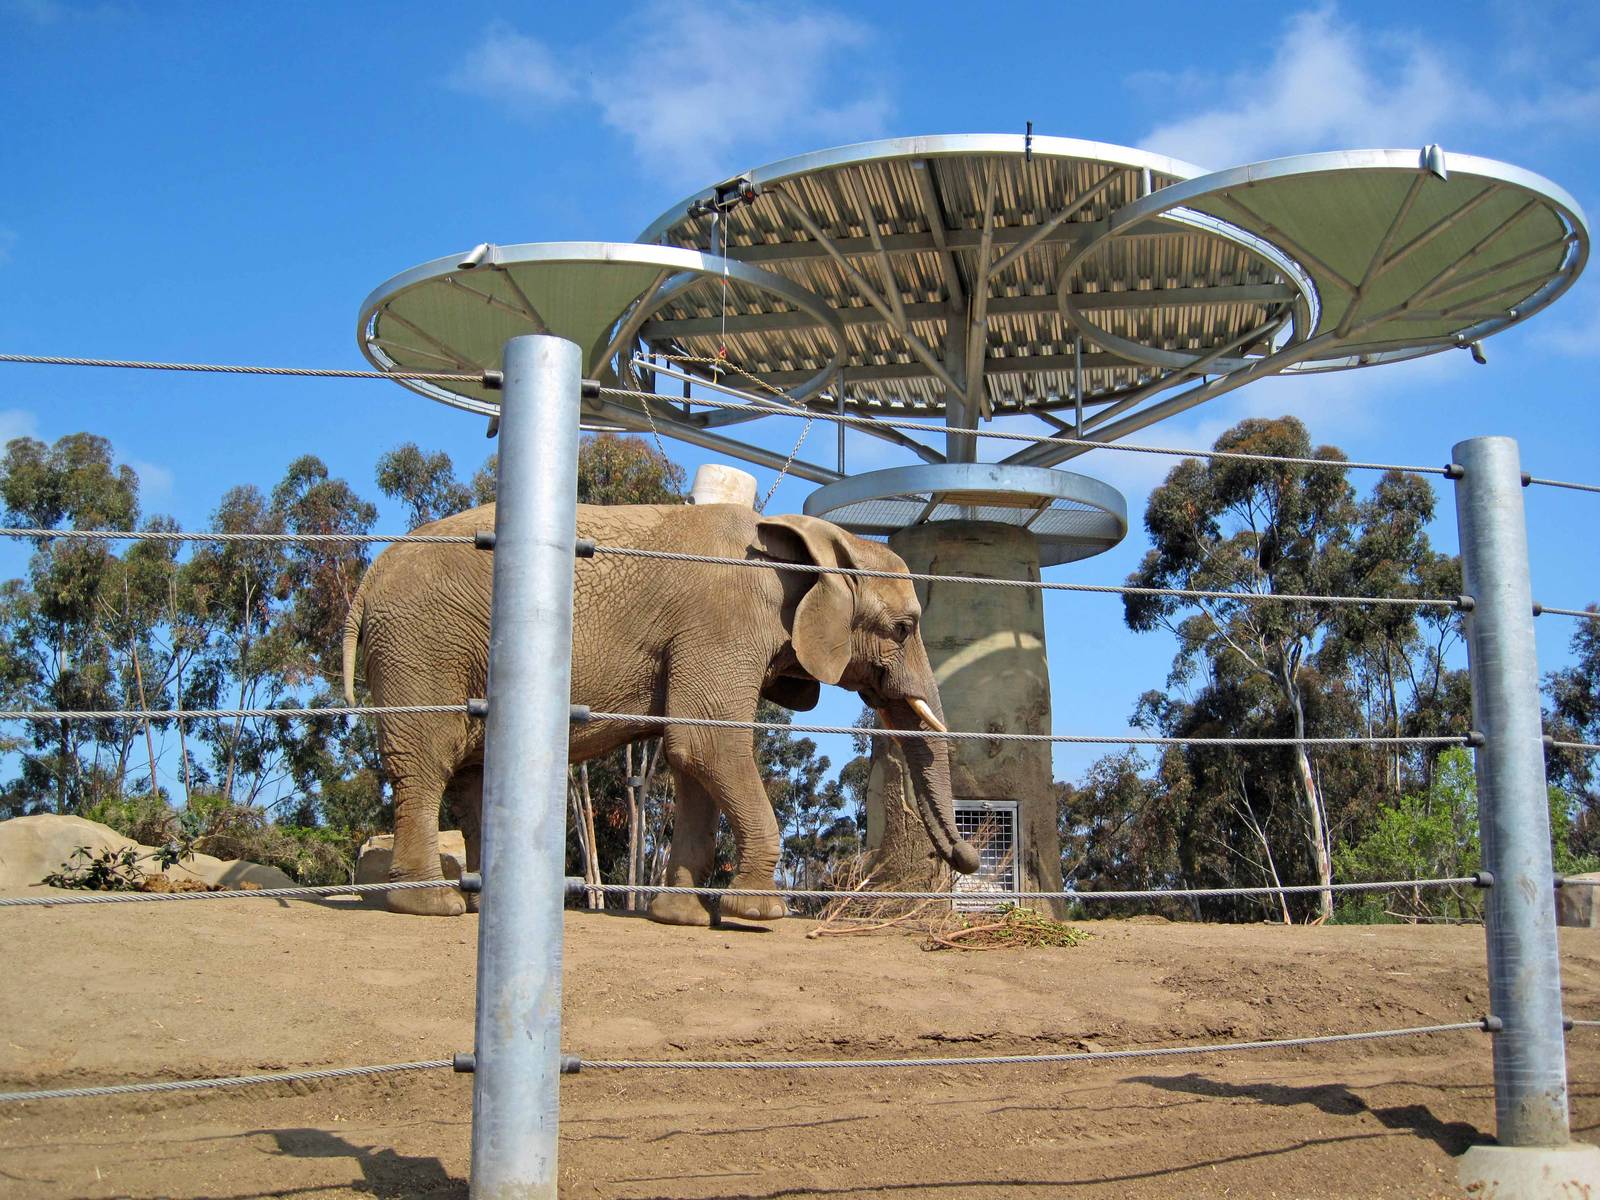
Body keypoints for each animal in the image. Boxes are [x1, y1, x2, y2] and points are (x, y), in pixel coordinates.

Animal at [341, 501, 980, 924]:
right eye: (905, 629)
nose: (970, 856)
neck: (813, 541)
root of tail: (367, 579)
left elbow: (692, 759)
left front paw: (684, 917)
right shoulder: (724, 622)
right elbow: (707, 742)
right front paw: (758, 913)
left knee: (471, 773)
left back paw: (477, 905)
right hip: (422, 643)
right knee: (427, 761)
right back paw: (432, 904)